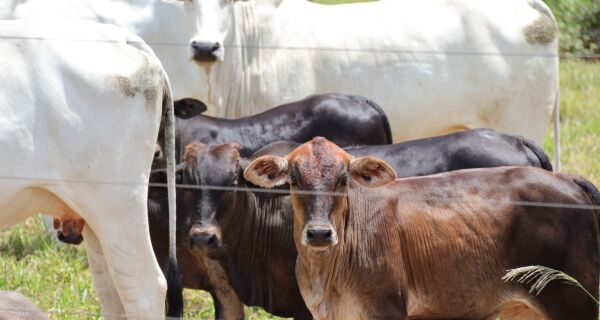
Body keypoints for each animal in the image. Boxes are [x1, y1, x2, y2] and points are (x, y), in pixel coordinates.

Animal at [245, 137, 600, 320]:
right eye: (294, 179)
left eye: (343, 179)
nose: (319, 233)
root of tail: (566, 179)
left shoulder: (386, 311)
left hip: (576, 302)